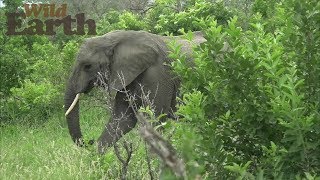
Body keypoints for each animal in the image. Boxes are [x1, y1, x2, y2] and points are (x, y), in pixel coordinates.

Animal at [65, 29, 206, 153]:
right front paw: (97, 161)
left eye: (87, 66)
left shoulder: (158, 74)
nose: (90, 140)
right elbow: (123, 119)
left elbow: (156, 118)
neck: (111, 40)